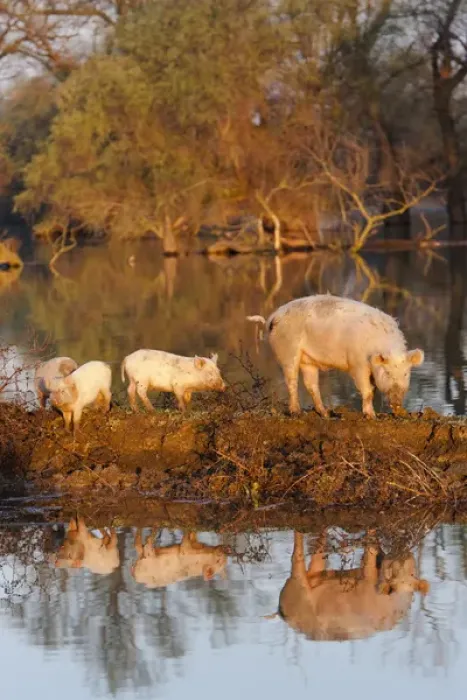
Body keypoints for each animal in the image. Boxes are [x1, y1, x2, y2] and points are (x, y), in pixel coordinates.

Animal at [247, 294, 424, 418]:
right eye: (387, 372)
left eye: (406, 373)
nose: (397, 400)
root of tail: (273, 317)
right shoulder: (357, 363)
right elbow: (367, 391)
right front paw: (371, 416)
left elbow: (373, 390)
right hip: (288, 351)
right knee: (292, 381)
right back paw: (297, 413)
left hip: (307, 360)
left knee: (311, 385)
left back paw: (326, 414)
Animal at [271, 531, 429, 641]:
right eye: (393, 578)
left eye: (413, 574)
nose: (402, 556)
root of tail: (281, 613)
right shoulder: (368, 580)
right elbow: (370, 554)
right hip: (297, 590)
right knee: (296, 559)